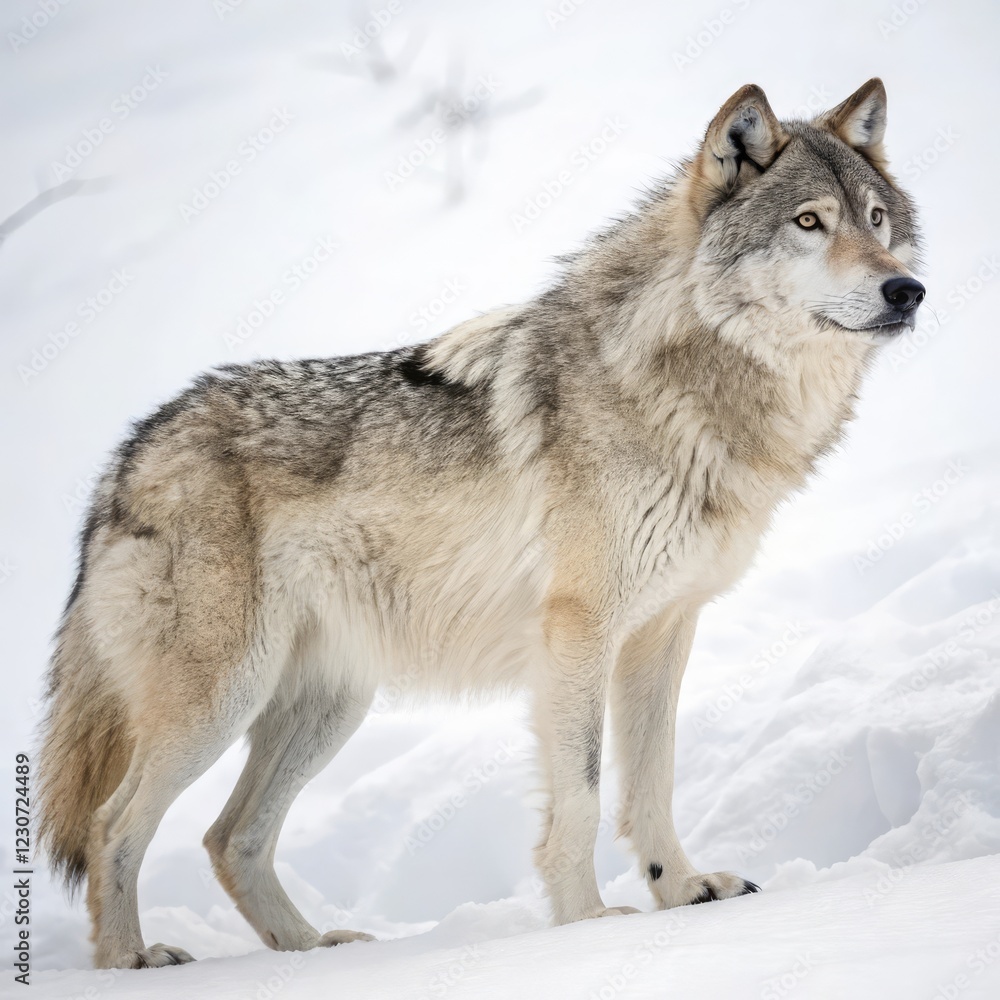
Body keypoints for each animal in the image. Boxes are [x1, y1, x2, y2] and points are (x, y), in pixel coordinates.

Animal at [38, 79, 924, 969]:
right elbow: (582, 794)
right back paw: (130, 962)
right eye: (808, 222)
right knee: (114, 824)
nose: (906, 291)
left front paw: (680, 891)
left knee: (230, 838)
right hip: (222, 700)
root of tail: (127, 454)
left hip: (329, 706)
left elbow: (653, 782)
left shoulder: (663, 631)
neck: (686, 385)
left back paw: (315, 948)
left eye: (877, 219)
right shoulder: (579, 633)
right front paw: (587, 925)